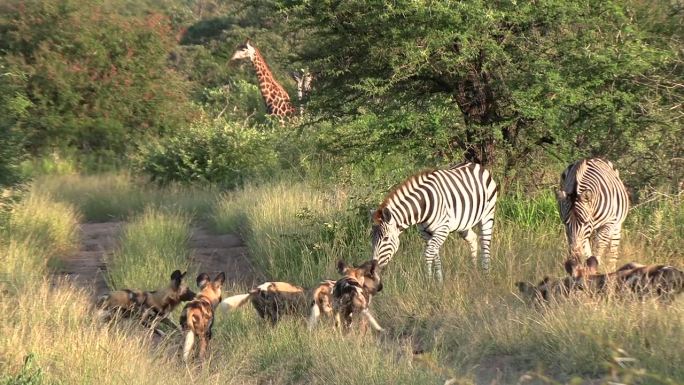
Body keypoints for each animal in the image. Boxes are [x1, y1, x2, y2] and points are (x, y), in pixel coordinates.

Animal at [368, 160, 496, 280]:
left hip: (487, 214)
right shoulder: (425, 233)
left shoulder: (442, 229)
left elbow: (429, 253)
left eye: (386, 238)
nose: (373, 269)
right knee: (473, 239)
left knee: (485, 243)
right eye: (372, 239)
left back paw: (486, 275)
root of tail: (476, 165)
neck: (423, 205)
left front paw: (428, 281)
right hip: (463, 224)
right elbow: (435, 255)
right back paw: (474, 272)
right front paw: (439, 282)